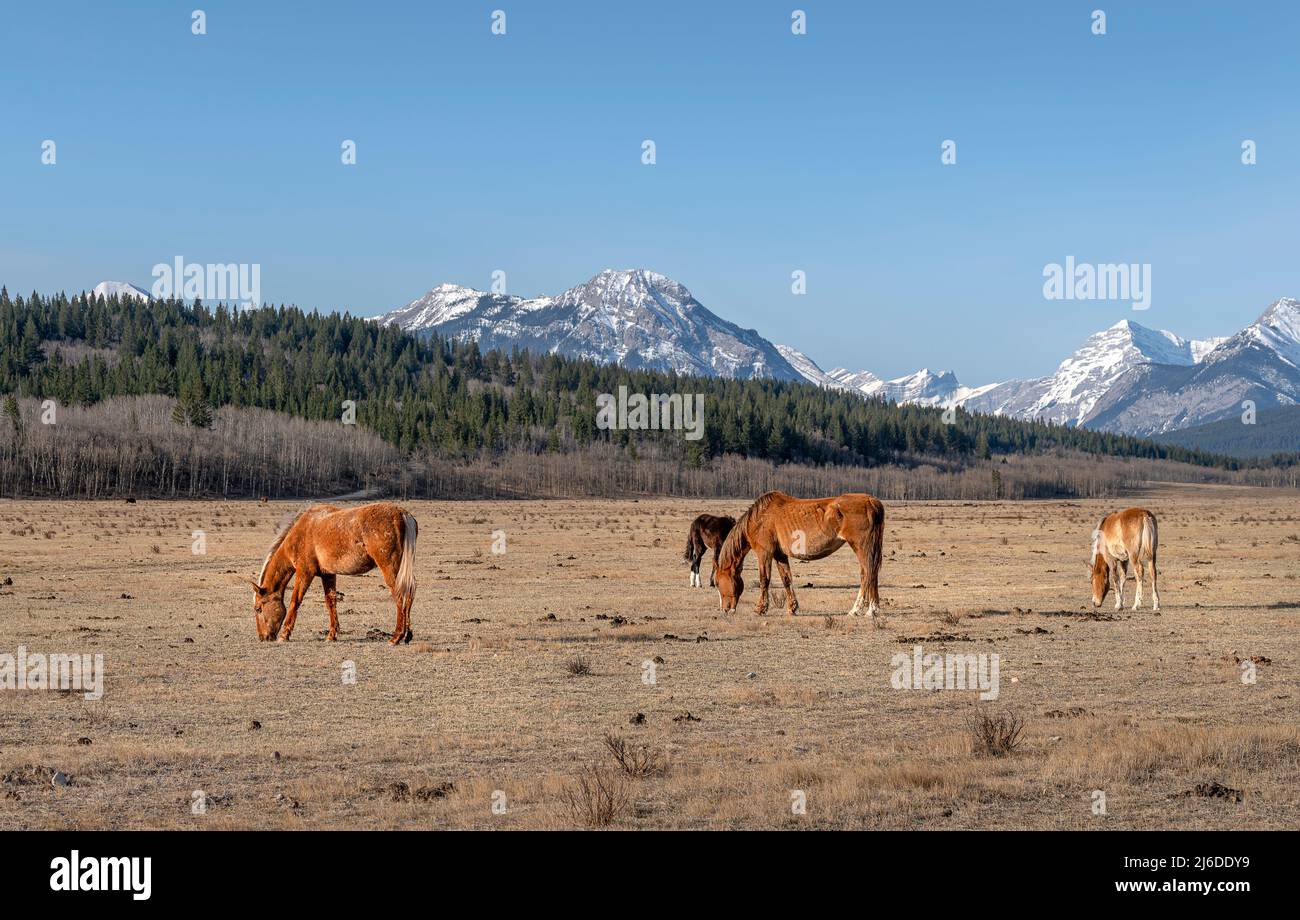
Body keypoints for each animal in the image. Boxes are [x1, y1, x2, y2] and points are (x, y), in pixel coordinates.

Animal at [245, 502, 418, 644]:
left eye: (258, 609)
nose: (263, 637)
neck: (301, 533)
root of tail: (402, 513)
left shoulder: (304, 573)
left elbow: (295, 601)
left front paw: (284, 634)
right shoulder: (328, 575)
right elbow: (331, 602)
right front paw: (331, 634)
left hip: (389, 567)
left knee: (400, 594)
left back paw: (396, 637)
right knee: (410, 591)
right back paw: (407, 635)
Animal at [714, 491, 884, 617]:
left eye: (716, 583)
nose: (725, 609)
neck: (759, 518)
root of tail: (871, 501)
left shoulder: (764, 553)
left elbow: (764, 580)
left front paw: (760, 609)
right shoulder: (779, 555)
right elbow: (786, 580)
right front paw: (792, 608)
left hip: (861, 546)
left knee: (867, 573)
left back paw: (856, 609)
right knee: (873, 573)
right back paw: (873, 610)